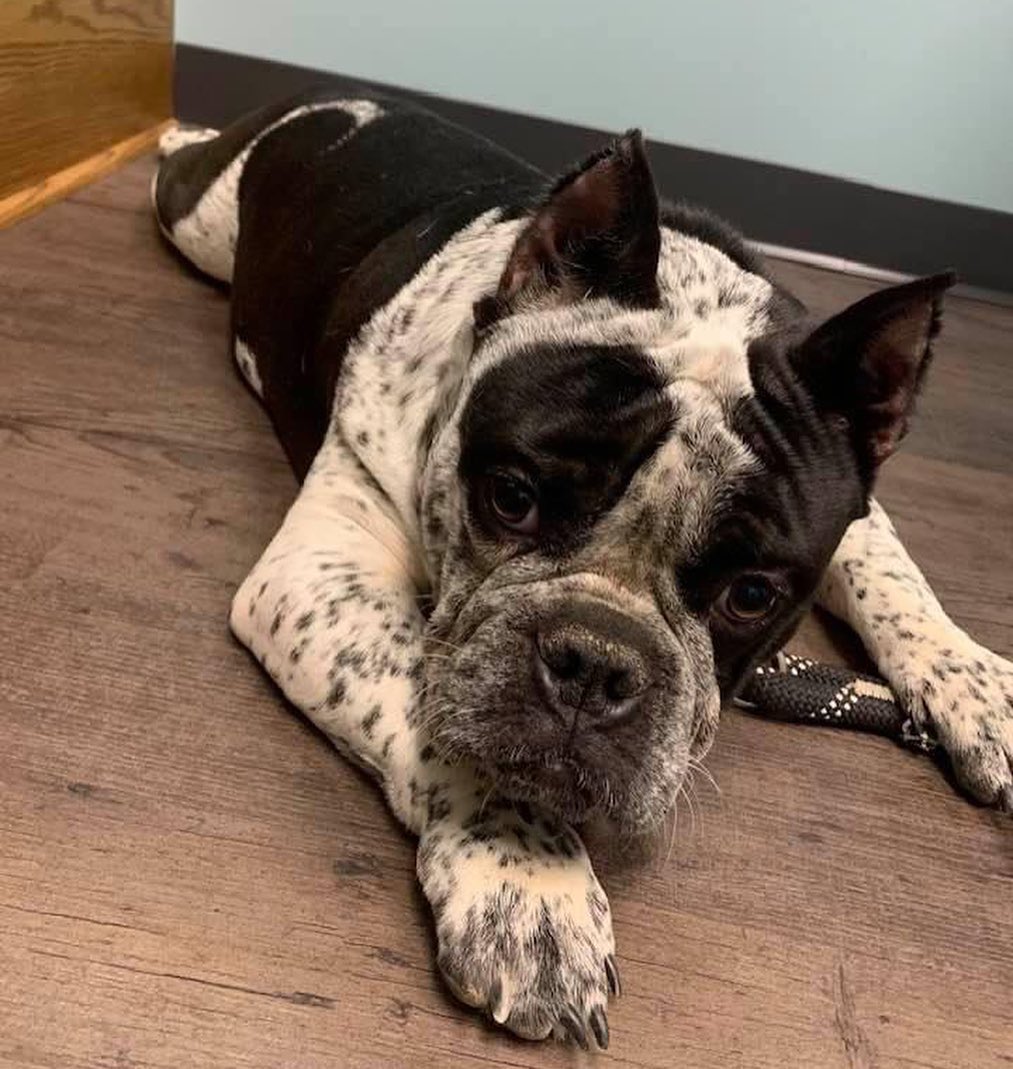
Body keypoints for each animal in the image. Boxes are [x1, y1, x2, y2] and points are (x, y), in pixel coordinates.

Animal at [152, 87, 1013, 1047]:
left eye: (751, 594)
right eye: (512, 496)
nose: (597, 659)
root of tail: (331, 98)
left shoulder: (852, 505)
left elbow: (892, 576)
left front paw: (977, 686)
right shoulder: (322, 567)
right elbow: (442, 709)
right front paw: (527, 879)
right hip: (198, 219)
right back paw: (174, 134)